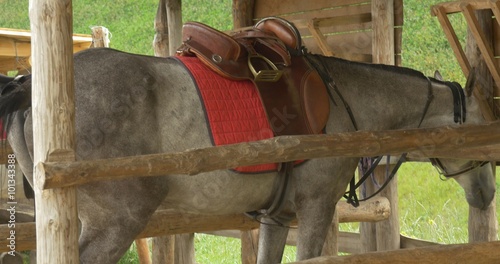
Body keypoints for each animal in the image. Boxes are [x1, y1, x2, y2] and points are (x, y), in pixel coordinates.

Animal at [0, 48, 494, 264]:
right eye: (477, 133)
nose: (488, 194)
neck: (345, 99)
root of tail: (31, 83)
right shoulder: (317, 208)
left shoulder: (276, 218)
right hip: (115, 223)